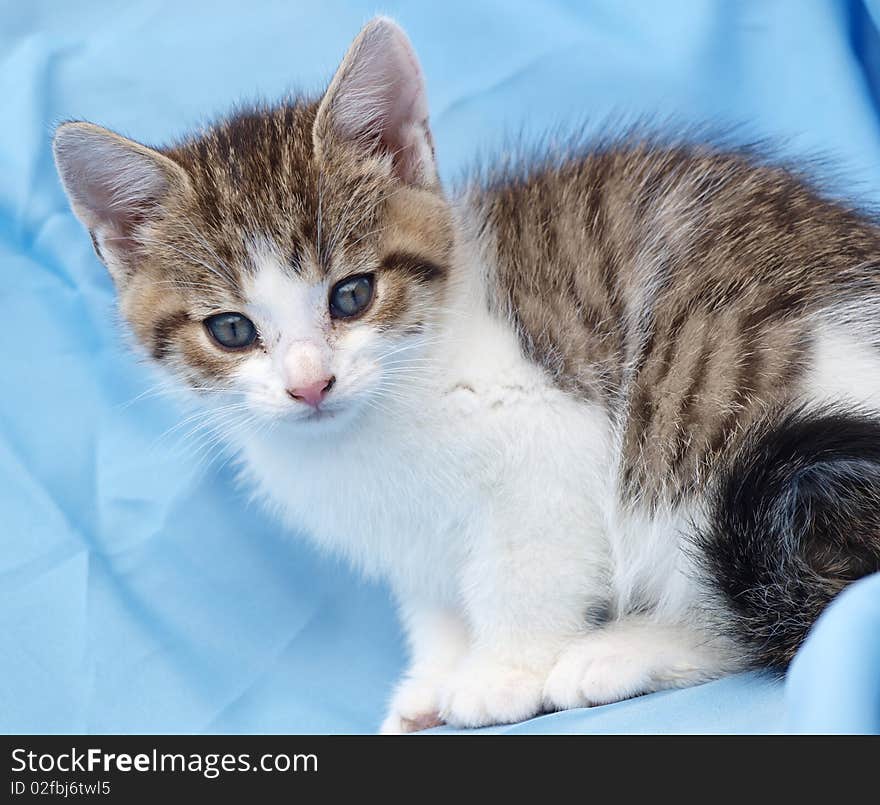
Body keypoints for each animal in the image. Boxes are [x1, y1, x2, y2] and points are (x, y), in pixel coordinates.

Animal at [51, 15, 880, 732]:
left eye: (351, 294)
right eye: (231, 330)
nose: (310, 384)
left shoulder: (552, 437)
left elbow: (521, 569)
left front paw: (500, 672)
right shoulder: (412, 532)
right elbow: (434, 598)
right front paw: (435, 677)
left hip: (709, 408)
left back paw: (622, 650)